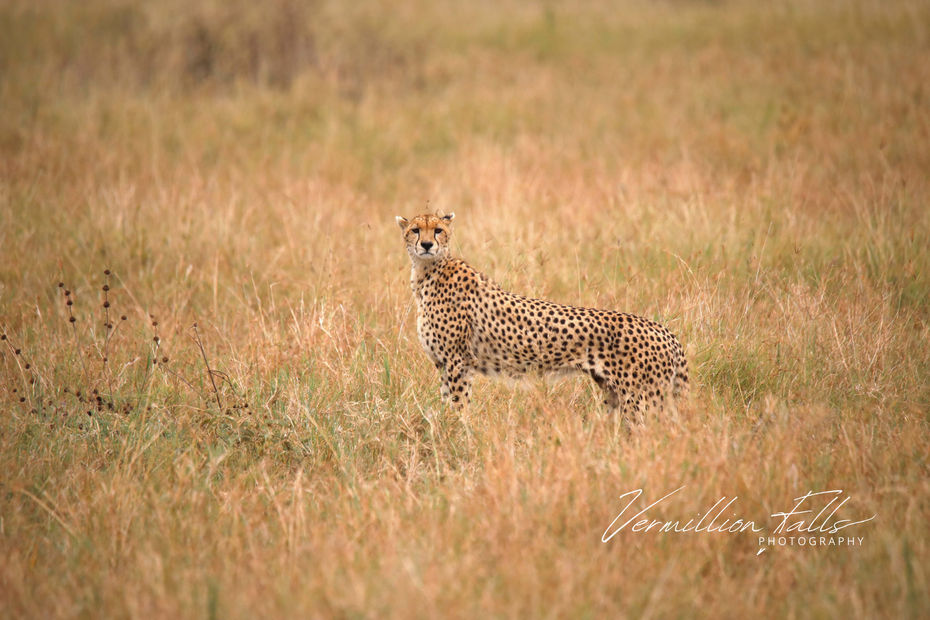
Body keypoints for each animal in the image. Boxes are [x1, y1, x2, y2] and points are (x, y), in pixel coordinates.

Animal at [396, 211, 689, 420]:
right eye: (415, 230)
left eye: (438, 230)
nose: (426, 244)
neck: (427, 272)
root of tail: (664, 331)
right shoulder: (443, 363)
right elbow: (447, 402)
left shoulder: (458, 362)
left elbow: (458, 404)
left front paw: (457, 431)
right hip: (618, 395)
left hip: (643, 400)